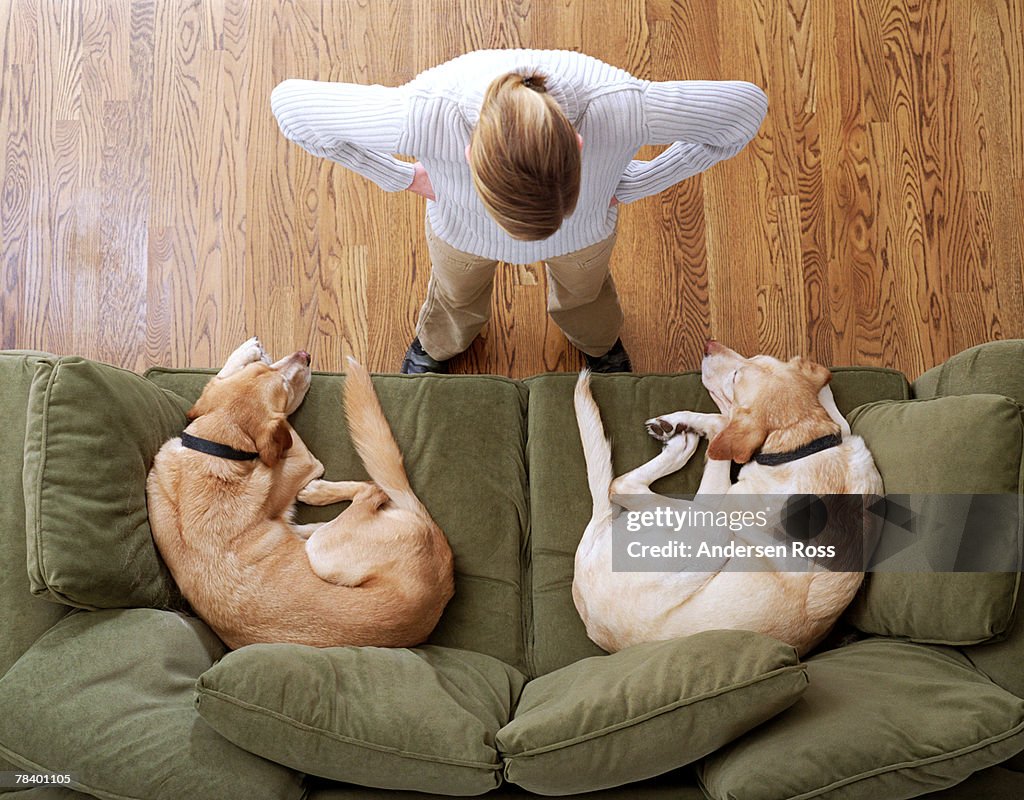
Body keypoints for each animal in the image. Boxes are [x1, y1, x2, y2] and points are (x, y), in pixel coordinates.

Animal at [148, 338, 456, 647]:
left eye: (266, 369)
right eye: (285, 387)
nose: (305, 355)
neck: (217, 445)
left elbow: (218, 380)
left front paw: (246, 352)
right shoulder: (303, 459)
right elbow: (278, 422)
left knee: (368, 494)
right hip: (323, 551)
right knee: (372, 491)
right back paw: (313, 503)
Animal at [573, 338, 884, 655]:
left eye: (735, 377)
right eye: (756, 357)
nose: (709, 344)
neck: (802, 443)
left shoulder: (722, 501)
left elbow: (722, 423)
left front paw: (689, 423)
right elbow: (829, 400)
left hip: (713, 529)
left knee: (620, 484)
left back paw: (680, 446)